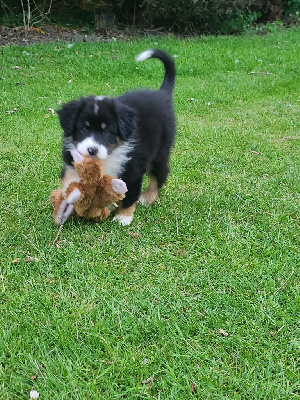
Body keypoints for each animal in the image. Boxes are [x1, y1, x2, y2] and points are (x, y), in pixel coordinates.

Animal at [58, 48, 176, 225]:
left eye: (107, 132)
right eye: (84, 129)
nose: (92, 150)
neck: (106, 158)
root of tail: (161, 94)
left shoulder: (132, 169)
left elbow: (129, 196)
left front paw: (123, 217)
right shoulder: (72, 160)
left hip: (160, 153)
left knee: (159, 176)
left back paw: (147, 198)